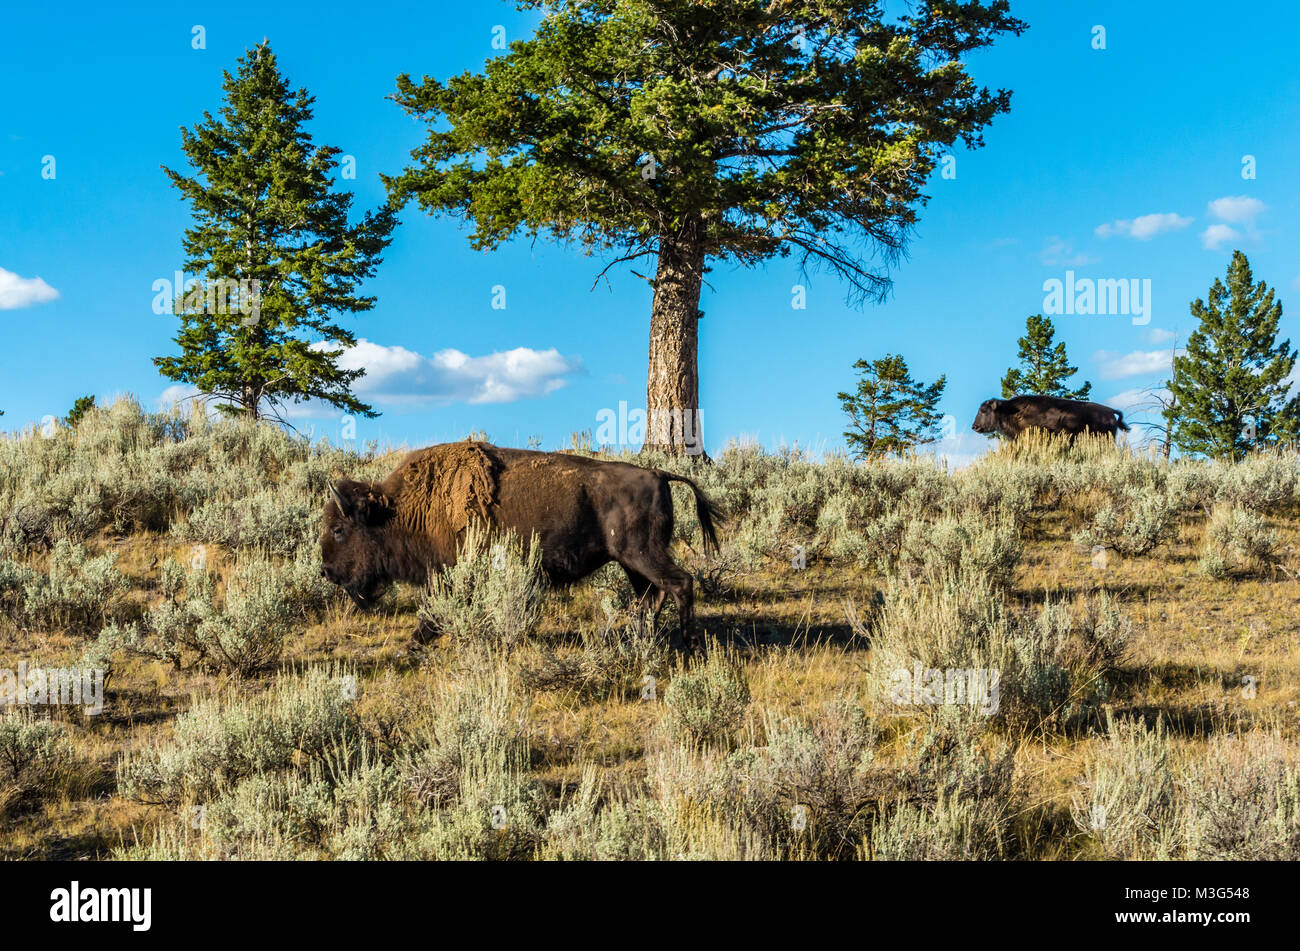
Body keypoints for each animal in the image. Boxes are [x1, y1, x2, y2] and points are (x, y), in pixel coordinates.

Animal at [315, 439, 722, 654]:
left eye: (338, 528)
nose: (326, 571)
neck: (402, 508)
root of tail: (658, 473)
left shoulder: (447, 574)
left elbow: (432, 611)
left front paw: (413, 644)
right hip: (630, 562)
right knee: (651, 596)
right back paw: (638, 640)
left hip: (643, 554)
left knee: (680, 584)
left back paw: (689, 646)